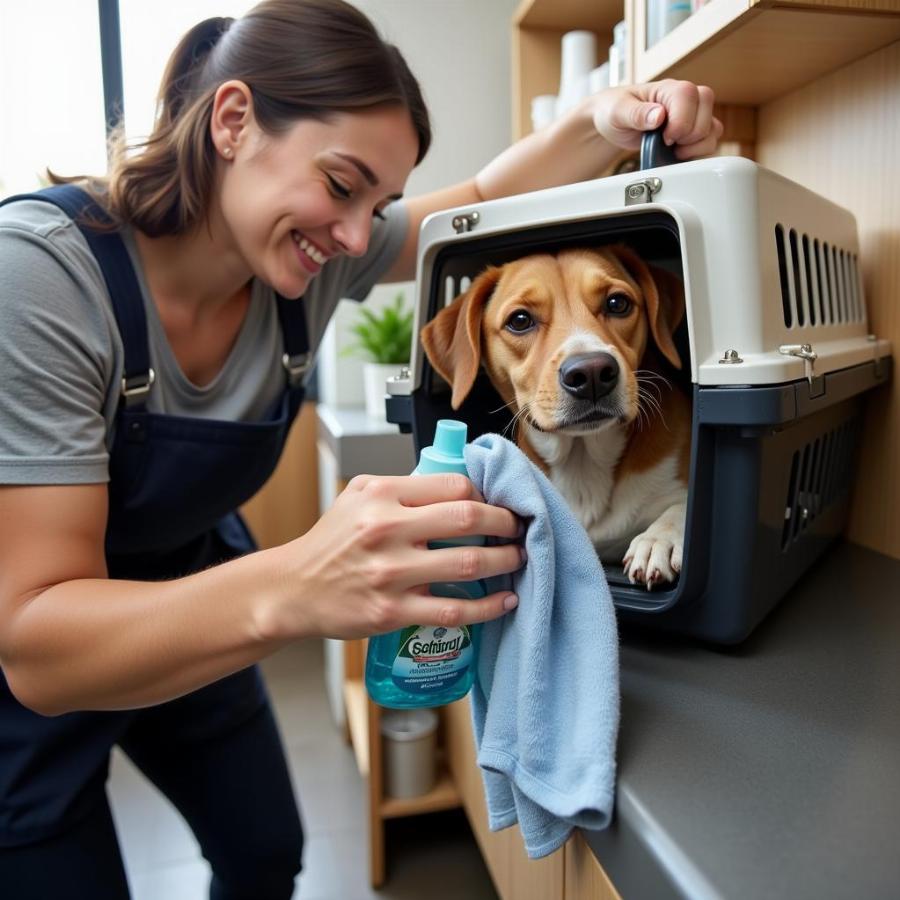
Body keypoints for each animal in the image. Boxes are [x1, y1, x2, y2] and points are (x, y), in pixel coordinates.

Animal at [420, 244, 688, 592]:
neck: (583, 461)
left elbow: (685, 506)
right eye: (520, 320)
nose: (591, 373)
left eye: (617, 303)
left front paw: (659, 539)